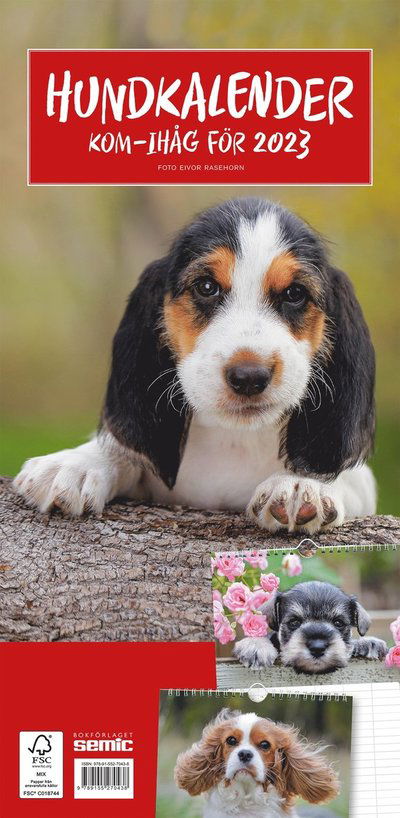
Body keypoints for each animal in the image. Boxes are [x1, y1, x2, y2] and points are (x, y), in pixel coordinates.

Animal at [15, 198, 376, 528]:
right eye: (206, 287)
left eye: (295, 294)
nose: (249, 377)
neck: (233, 437)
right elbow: (123, 449)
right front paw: (77, 464)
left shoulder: (363, 486)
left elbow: (344, 476)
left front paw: (301, 483)